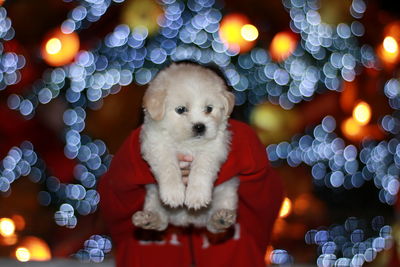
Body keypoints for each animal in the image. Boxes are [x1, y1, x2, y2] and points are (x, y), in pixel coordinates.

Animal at [132, 63, 241, 234]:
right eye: (181, 110)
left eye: (209, 109)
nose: (200, 126)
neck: (187, 144)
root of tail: (187, 220)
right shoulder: (156, 144)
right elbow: (168, 167)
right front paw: (173, 193)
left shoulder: (214, 148)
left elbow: (201, 168)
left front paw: (197, 196)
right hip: (153, 197)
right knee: (161, 221)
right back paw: (147, 220)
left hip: (225, 192)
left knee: (214, 226)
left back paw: (221, 219)